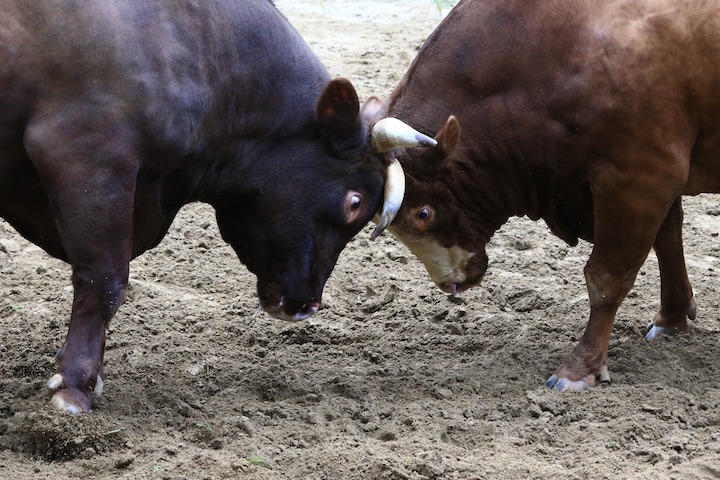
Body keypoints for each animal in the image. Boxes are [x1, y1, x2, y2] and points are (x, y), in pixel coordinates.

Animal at [372, 0, 716, 390]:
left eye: (423, 214)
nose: (450, 283)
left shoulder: (639, 179)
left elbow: (606, 277)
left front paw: (580, 367)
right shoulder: (655, 181)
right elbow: (668, 241)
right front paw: (672, 319)